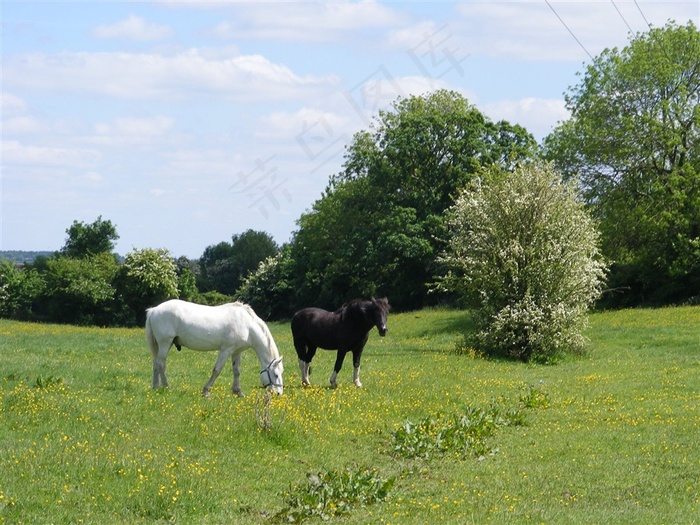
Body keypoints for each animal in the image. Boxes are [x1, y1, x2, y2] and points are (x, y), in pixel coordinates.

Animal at [145, 298, 284, 398]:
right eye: (276, 374)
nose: (278, 393)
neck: (247, 325)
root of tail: (154, 310)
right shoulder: (225, 350)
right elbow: (217, 370)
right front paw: (206, 392)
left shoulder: (236, 352)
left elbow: (237, 371)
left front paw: (238, 392)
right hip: (165, 342)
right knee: (161, 364)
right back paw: (167, 387)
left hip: (163, 344)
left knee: (156, 363)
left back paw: (156, 387)